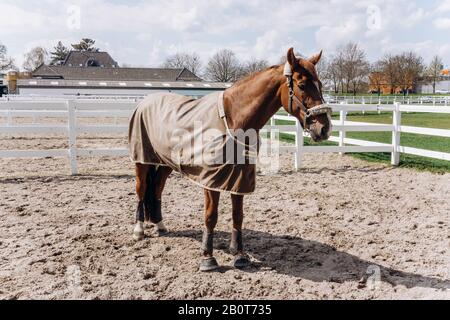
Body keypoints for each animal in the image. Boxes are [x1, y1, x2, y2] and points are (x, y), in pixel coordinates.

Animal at [128, 47, 332, 272]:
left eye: (320, 85)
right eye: (302, 85)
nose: (324, 128)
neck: (234, 118)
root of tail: (146, 101)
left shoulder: (239, 179)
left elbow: (238, 216)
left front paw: (240, 254)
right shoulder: (211, 181)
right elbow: (210, 217)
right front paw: (208, 258)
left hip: (166, 163)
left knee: (157, 189)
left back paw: (160, 225)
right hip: (142, 160)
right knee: (141, 190)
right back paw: (139, 230)